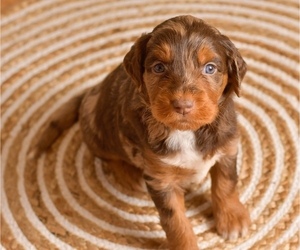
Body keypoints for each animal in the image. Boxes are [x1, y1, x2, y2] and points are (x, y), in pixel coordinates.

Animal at [32, 15, 251, 250]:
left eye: (210, 68)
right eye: (158, 67)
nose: (183, 105)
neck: (187, 132)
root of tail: (90, 92)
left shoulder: (227, 147)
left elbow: (226, 184)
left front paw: (232, 218)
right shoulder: (159, 177)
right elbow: (174, 219)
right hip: (98, 131)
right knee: (107, 156)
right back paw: (129, 175)